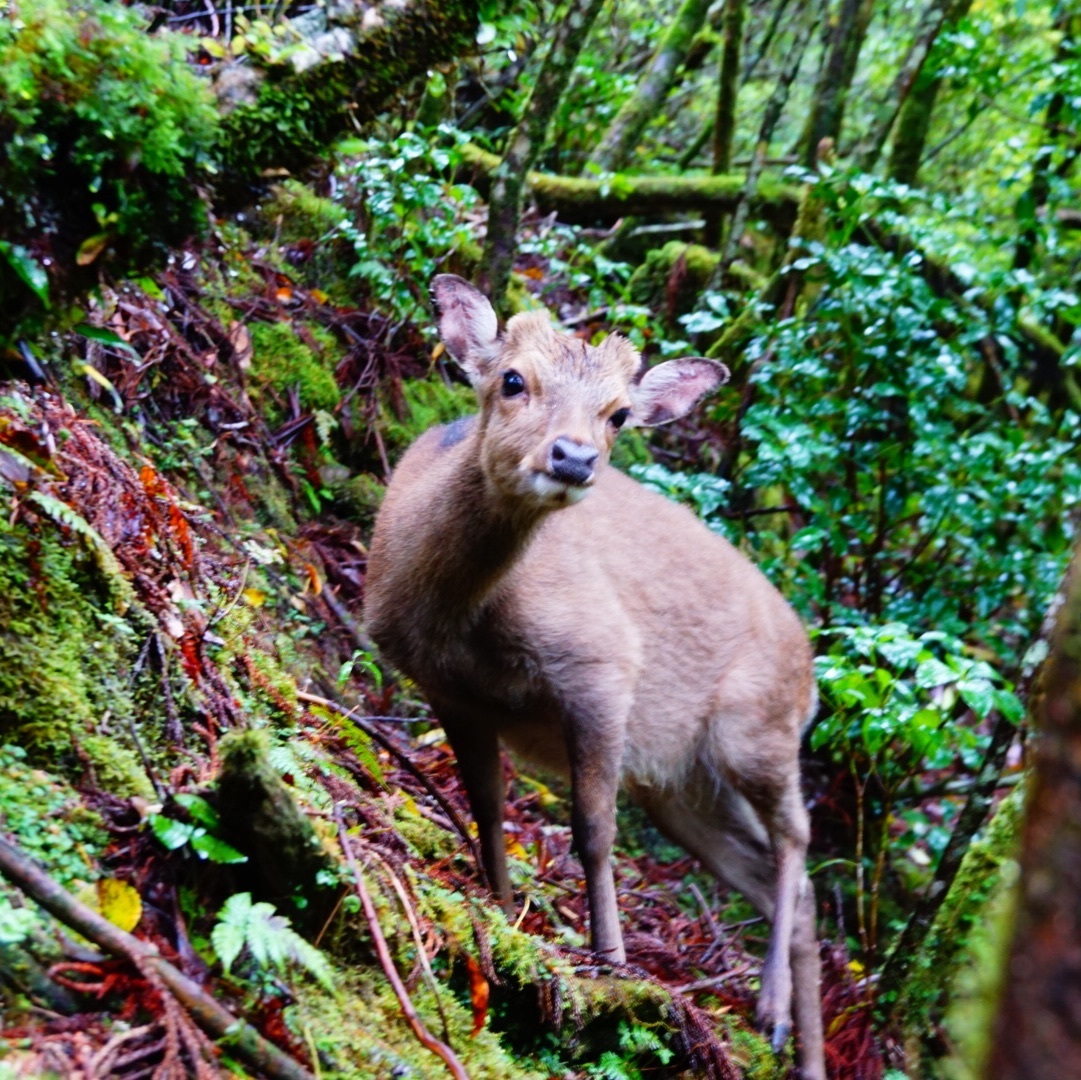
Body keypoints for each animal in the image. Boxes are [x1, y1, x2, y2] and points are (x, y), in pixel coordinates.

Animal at [365, 274, 825, 1076]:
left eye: (618, 415)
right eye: (512, 380)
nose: (574, 457)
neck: (457, 617)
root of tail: (814, 678)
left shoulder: (600, 667)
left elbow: (592, 829)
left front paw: (608, 962)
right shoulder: (449, 691)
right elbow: (487, 805)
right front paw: (499, 905)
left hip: (755, 730)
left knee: (798, 842)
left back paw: (769, 1010)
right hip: (682, 787)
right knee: (781, 886)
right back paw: (796, 1049)